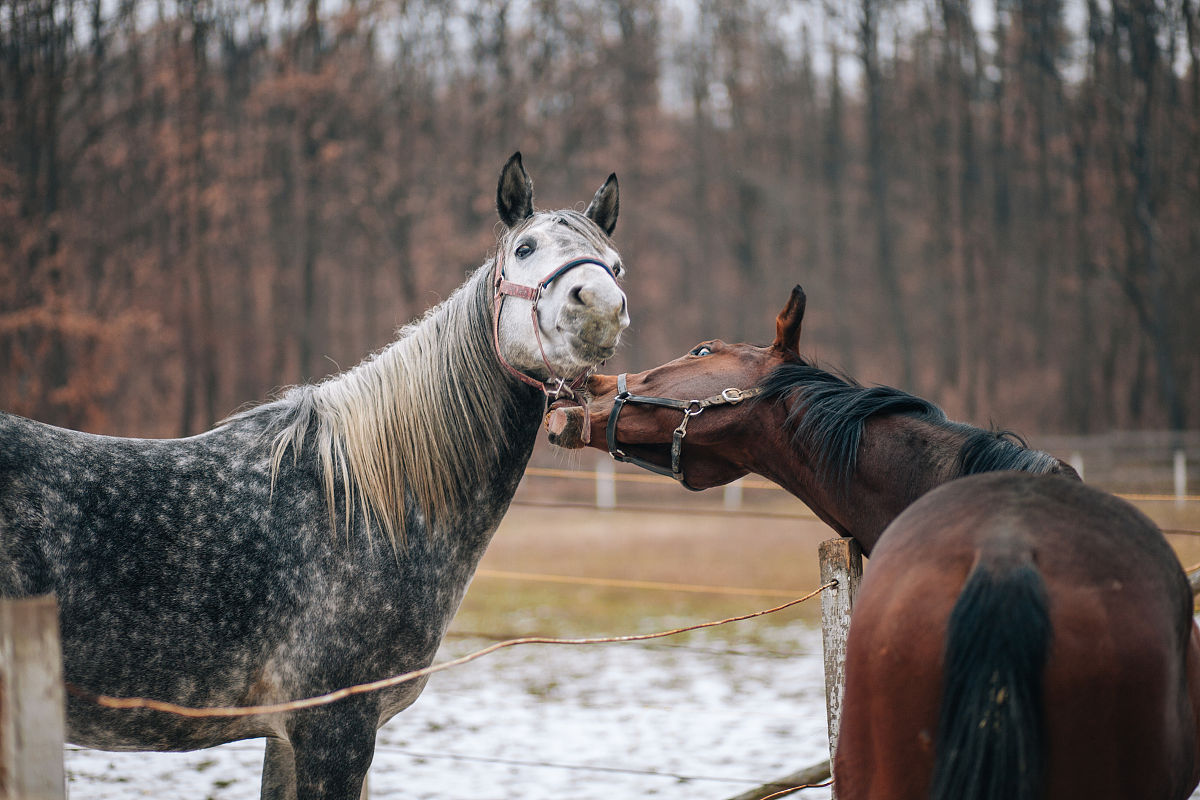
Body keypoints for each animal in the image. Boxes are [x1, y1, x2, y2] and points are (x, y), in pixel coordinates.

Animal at [0, 152, 629, 800]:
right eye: (525, 249)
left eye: (614, 262)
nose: (599, 305)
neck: (364, 505)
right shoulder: (335, 728)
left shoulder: (285, 738)